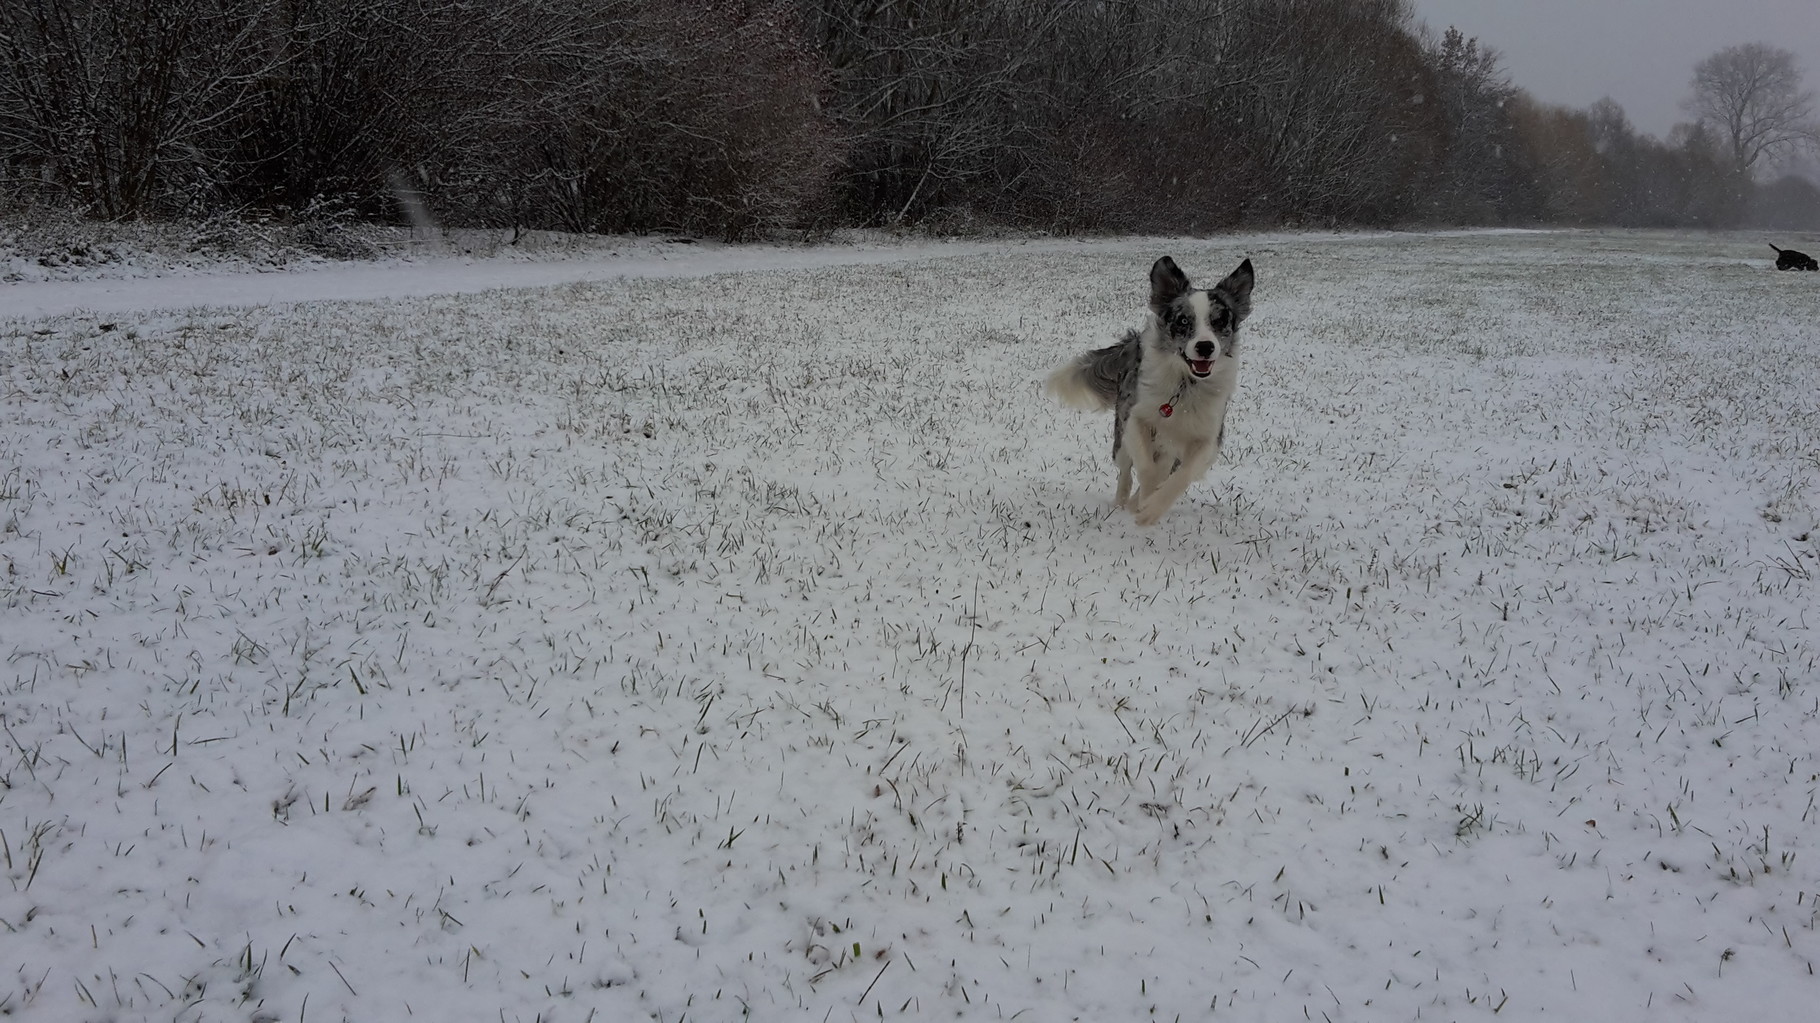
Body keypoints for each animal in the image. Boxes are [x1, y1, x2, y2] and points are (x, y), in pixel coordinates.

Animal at [1055, 254, 1252, 524]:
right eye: (1183, 321)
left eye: (1220, 321)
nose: (1205, 347)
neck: (1185, 385)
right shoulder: (1136, 416)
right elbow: (1147, 470)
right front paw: (1144, 504)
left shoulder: (1208, 437)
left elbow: (1181, 476)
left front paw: (1151, 510)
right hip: (1121, 437)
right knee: (1126, 471)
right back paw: (1123, 503)